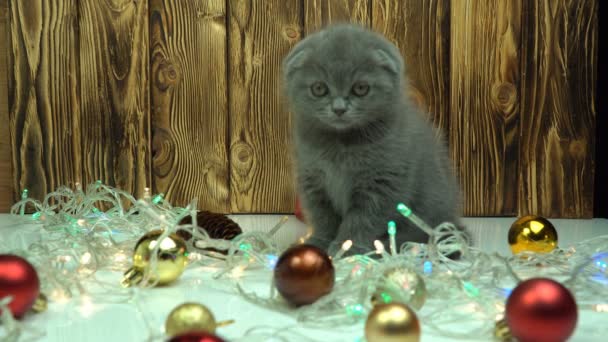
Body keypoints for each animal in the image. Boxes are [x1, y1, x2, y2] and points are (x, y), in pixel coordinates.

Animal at [282, 23, 464, 254]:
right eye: (319, 88)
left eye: (361, 88)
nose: (339, 108)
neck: (342, 144)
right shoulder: (313, 180)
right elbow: (323, 218)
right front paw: (318, 243)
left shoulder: (381, 184)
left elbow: (362, 221)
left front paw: (346, 249)